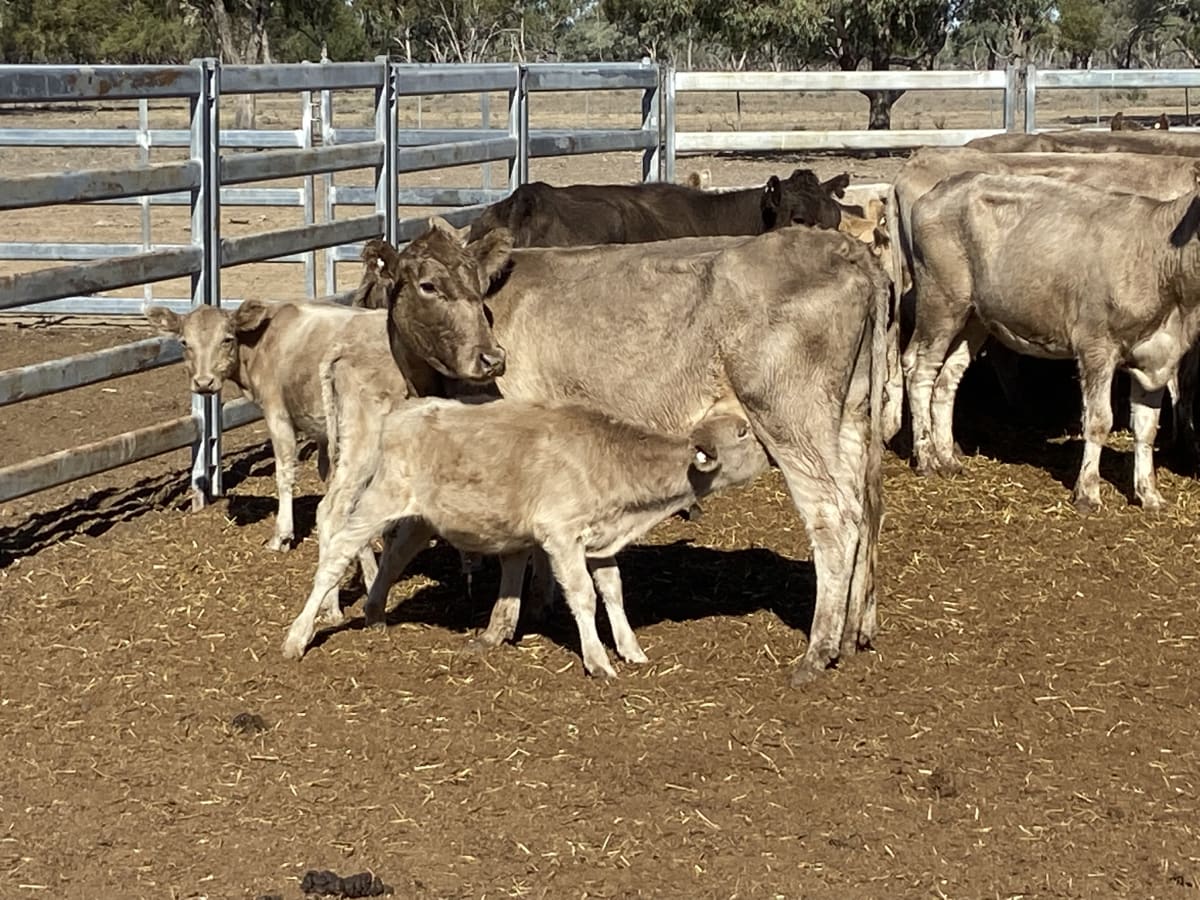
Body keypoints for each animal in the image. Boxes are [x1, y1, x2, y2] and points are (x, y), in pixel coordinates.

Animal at [145, 219, 511, 562]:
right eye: (184, 343)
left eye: (226, 339)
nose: (203, 382)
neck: (269, 337)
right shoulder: (324, 432)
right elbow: (326, 475)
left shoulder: (277, 413)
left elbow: (285, 471)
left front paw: (282, 535)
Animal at [281, 399, 769, 677]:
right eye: (743, 431)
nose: (771, 445)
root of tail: (404, 409)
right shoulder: (561, 534)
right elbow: (583, 596)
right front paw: (598, 660)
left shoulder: (601, 539)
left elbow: (613, 591)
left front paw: (631, 649)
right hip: (377, 499)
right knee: (337, 554)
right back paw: (298, 637)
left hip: (420, 518)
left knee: (394, 557)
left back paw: (375, 615)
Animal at [340, 225, 889, 686]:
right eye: (428, 286)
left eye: (478, 286)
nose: (491, 357)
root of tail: (844, 247)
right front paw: (539, 602)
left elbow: (516, 547)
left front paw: (499, 627)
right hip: (850, 417)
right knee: (865, 511)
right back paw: (853, 634)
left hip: (790, 420)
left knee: (833, 517)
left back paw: (816, 652)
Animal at [903, 170, 1200, 512]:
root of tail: (944, 186)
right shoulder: (1095, 344)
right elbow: (1099, 421)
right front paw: (1088, 493)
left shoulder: (1158, 355)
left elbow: (1147, 428)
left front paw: (1149, 494)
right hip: (941, 299)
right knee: (920, 371)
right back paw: (926, 459)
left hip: (974, 317)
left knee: (947, 379)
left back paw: (948, 458)